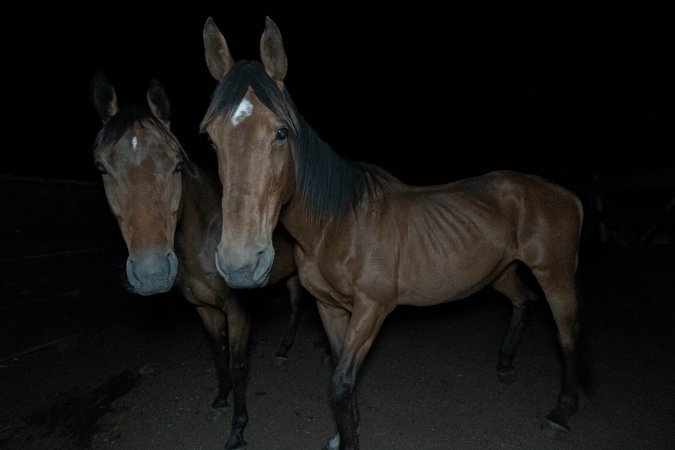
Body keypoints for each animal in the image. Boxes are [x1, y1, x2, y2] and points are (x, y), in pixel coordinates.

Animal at [88, 72, 304, 448]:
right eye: (101, 167)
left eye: (176, 164)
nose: (152, 273)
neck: (204, 238)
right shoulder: (204, 309)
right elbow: (217, 355)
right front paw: (221, 398)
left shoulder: (237, 310)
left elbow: (237, 365)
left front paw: (238, 427)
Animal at [198, 15, 596, 448]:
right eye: (212, 140)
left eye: (281, 133)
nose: (240, 265)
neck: (337, 224)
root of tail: (565, 194)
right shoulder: (330, 307)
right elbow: (341, 377)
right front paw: (344, 433)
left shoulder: (373, 308)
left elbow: (340, 385)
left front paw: (349, 438)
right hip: (500, 271)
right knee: (524, 301)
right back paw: (506, 364)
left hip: (555, 274)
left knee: (568, 331)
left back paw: (562, 410)